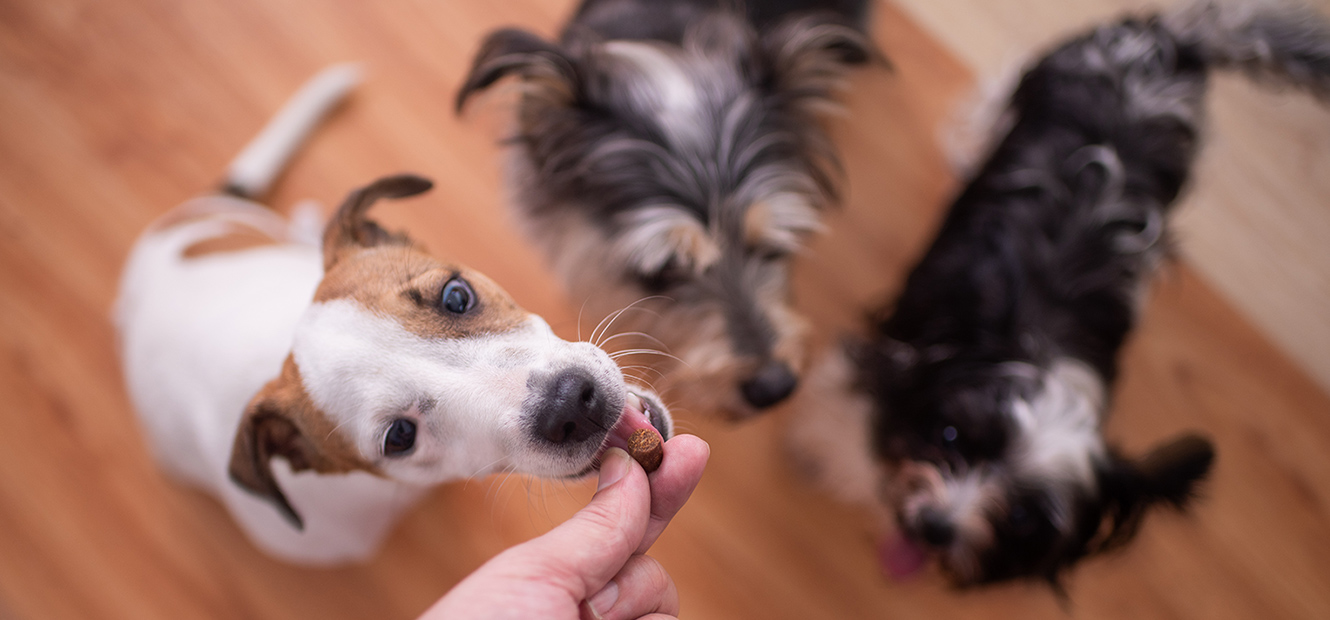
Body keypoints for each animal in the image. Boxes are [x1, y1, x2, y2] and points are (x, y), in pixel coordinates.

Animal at [787, 0, 1330, 590]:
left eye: (1024, 517)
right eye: (950, 436)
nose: (936, 527)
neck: (1029, 350)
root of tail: (1169, 46)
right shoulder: (898, 351)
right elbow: (852, 406)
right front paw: (831, 455)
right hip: (1045, 72)